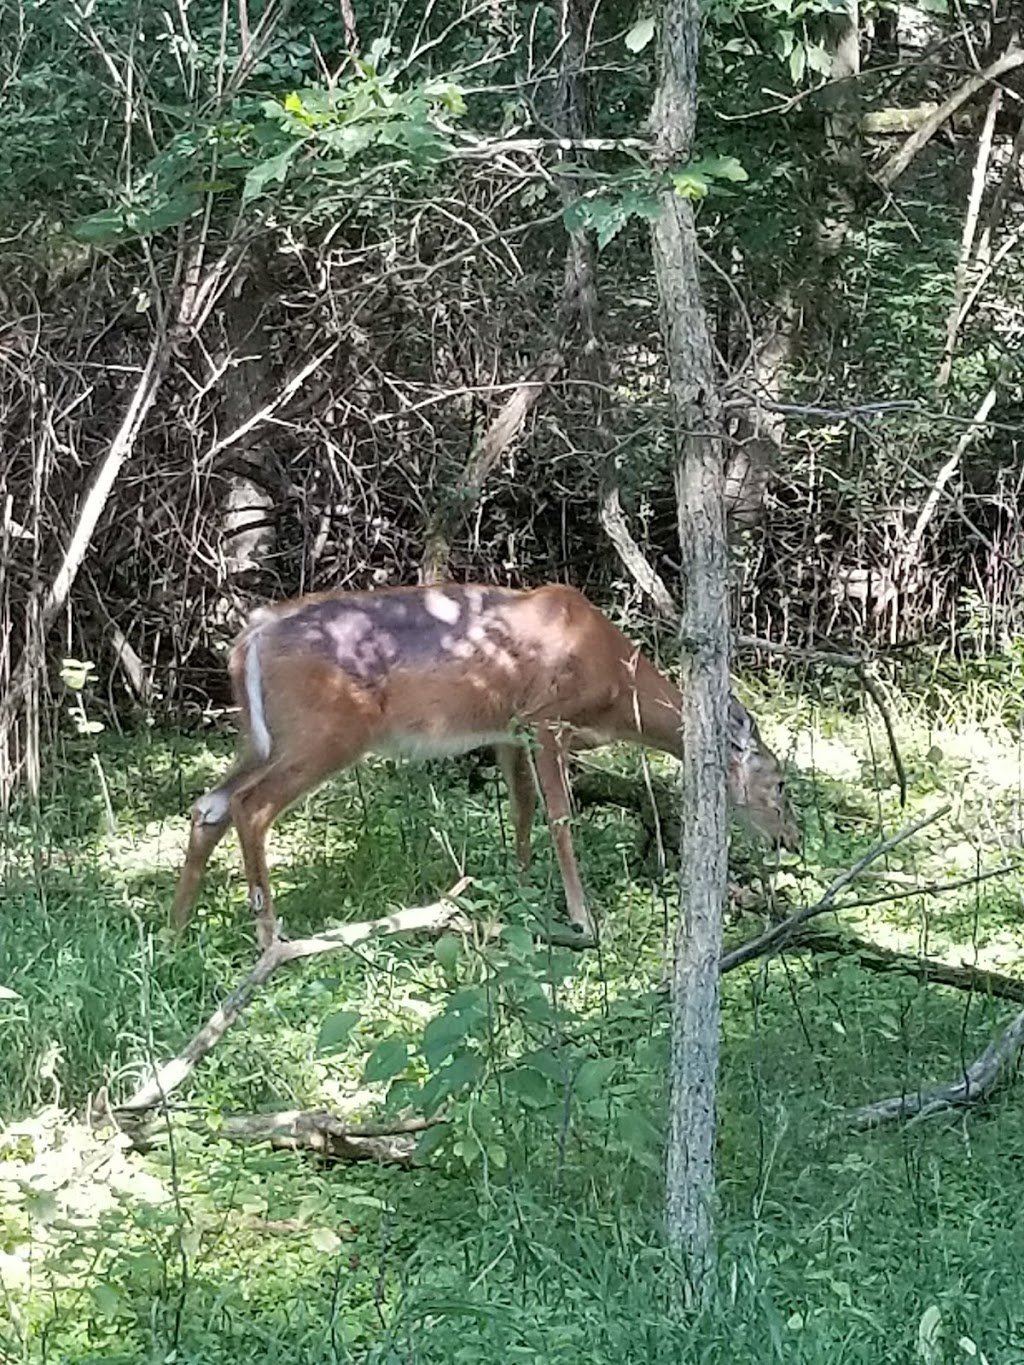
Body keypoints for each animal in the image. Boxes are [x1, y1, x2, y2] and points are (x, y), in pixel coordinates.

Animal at [174, 584, 802, 950]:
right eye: (779, 783)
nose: (792, 840)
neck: (616, 690)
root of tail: (250, 637)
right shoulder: (547, 719)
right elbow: (560, 818)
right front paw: (584, 919)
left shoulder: (509, 729)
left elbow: (521, 808)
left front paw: (518, 892)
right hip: (324, 731)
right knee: (251, 806)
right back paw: (268, 935)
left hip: (261, 738)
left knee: (208, 804)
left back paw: (175, 931)